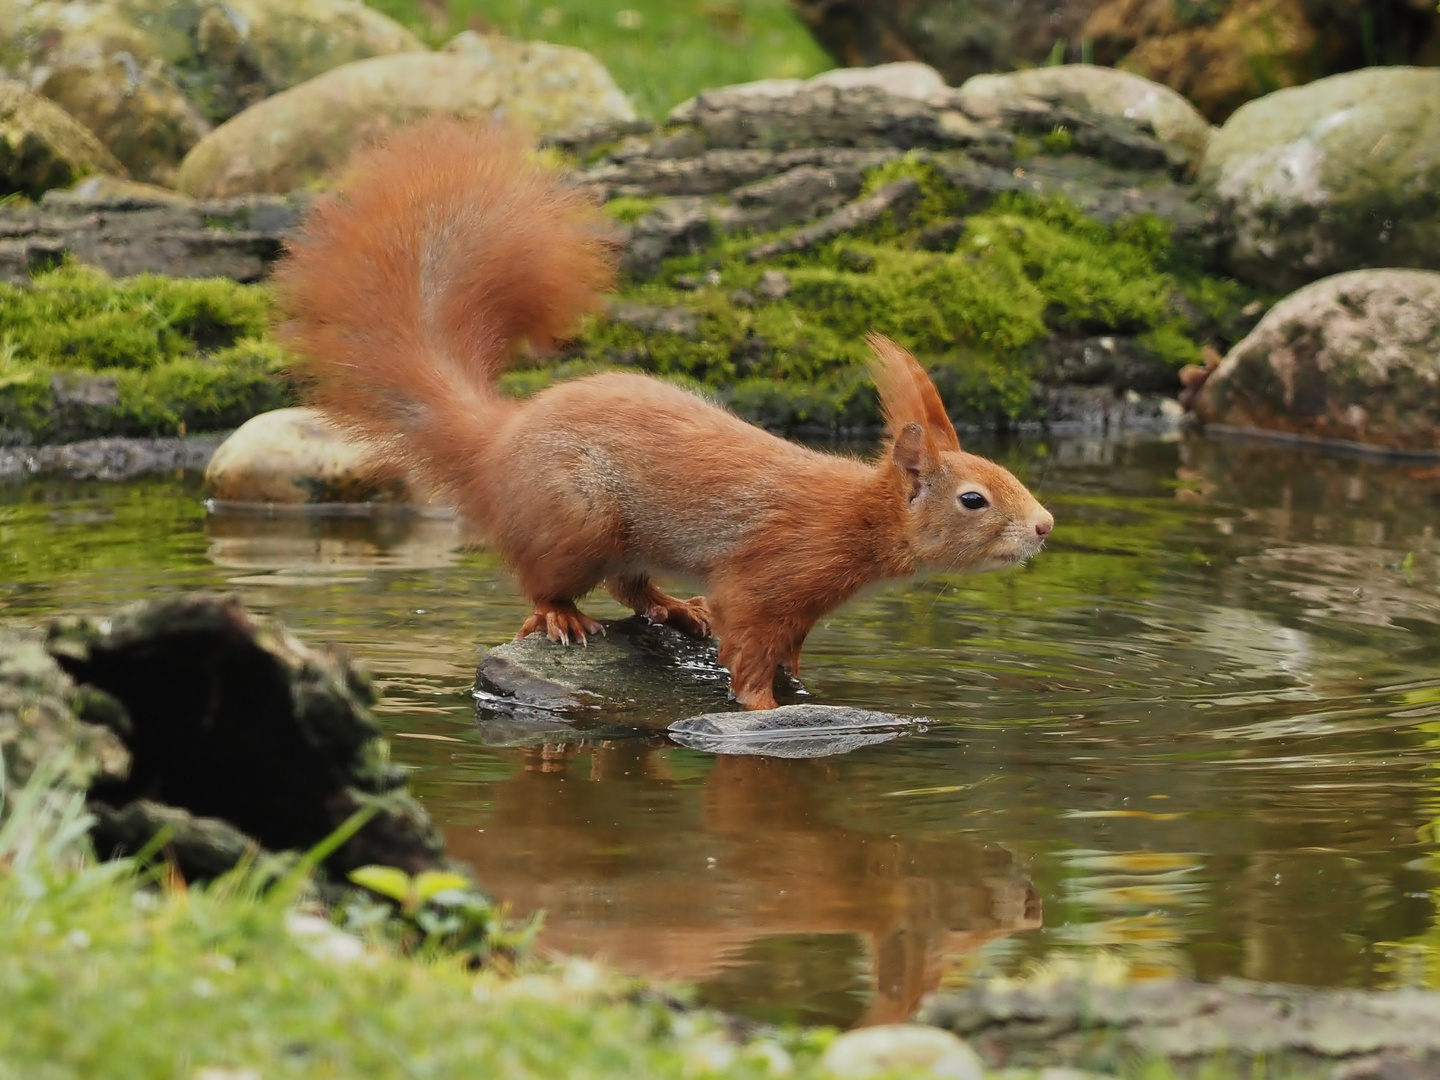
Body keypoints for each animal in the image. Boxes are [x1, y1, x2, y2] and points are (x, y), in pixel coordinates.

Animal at [272, 118, 1059, 714]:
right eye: (974, 499)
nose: (1046, 526)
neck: (859, 517)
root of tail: (500, 439)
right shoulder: (773, 571)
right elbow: (749, 644)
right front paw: (763, 706)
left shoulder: (804, 606)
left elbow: (788, 648)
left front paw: (797, 683)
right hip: (578, 516)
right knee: (545, 582)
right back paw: (562, 616)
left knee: (632, 587)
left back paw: (676, 607)